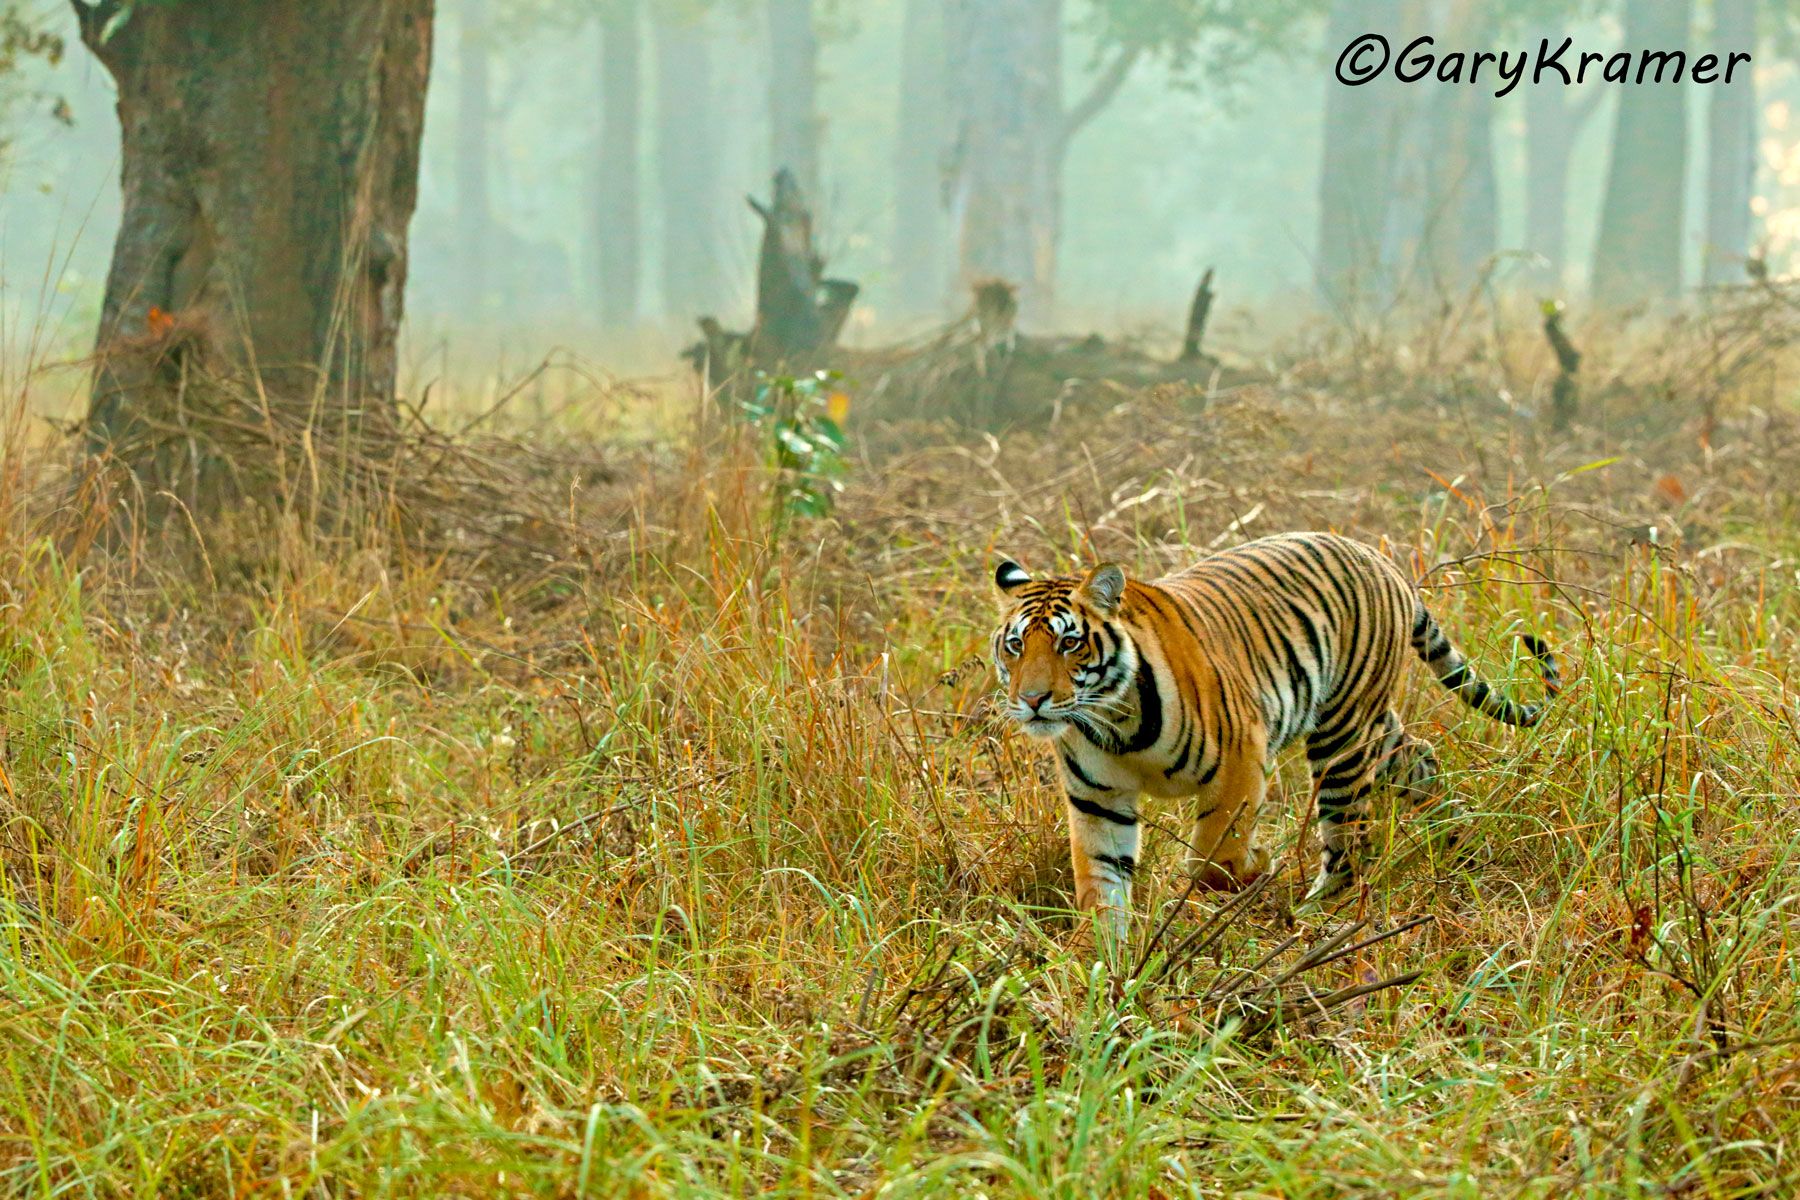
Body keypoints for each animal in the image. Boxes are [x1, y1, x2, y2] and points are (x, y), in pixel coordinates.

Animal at [989, 531, 1560, 940]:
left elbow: (1213, 859)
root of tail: (1382, 561)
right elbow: (1100, 886)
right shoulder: (1098, 800)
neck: (1115, 724)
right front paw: (1101, 969)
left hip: (1342, 736)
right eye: (1015, 645)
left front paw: (1258, 866)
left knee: (1347, 839)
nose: (1032, 699)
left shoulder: (1240, 759)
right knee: (1421, 756)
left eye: (1069, 643)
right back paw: (1455, 836)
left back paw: (1315, 913)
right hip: (1376, 726)